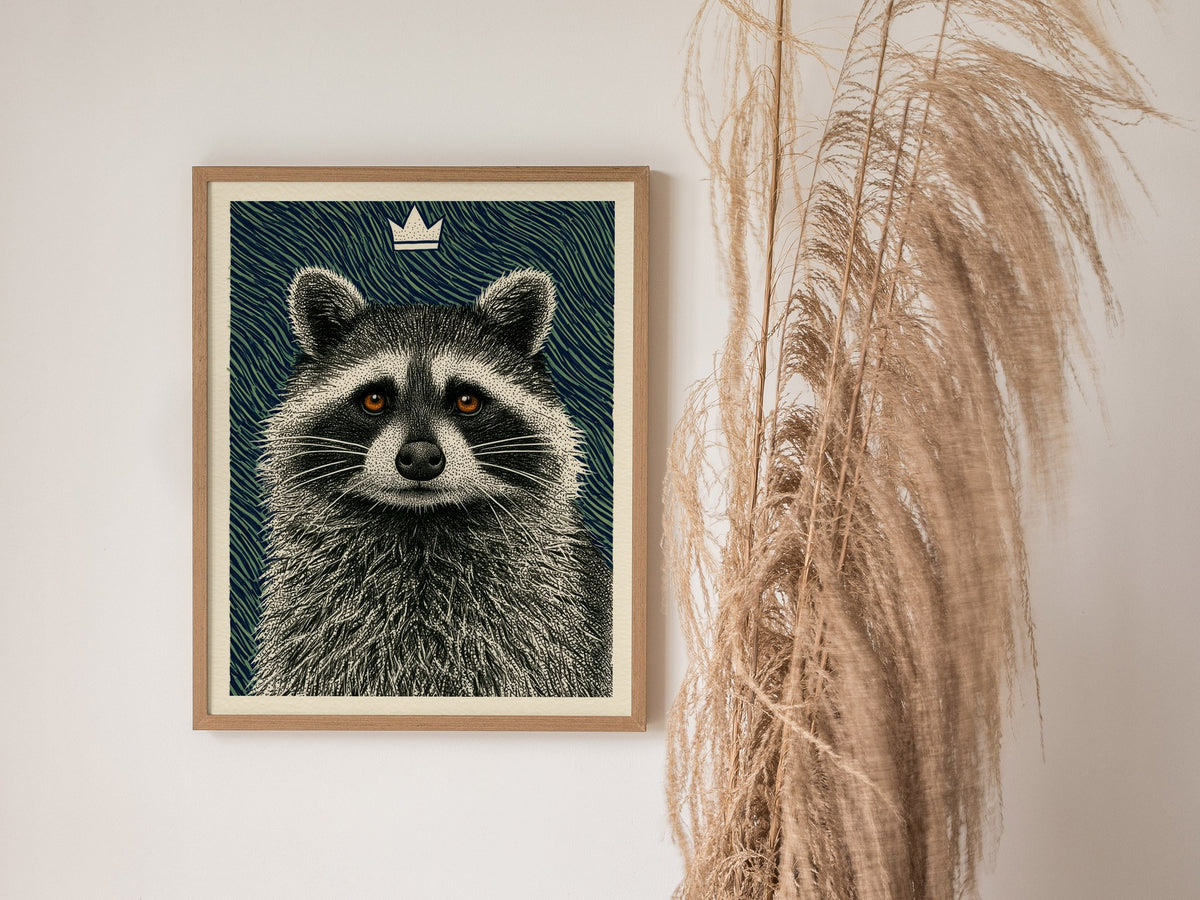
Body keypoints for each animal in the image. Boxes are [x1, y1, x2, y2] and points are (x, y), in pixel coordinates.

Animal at [250, 267, 613, 697]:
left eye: (467, 401)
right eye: (374, 399)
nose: (421, 459)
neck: (420, 525)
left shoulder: (544, 636)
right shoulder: (314, 634)